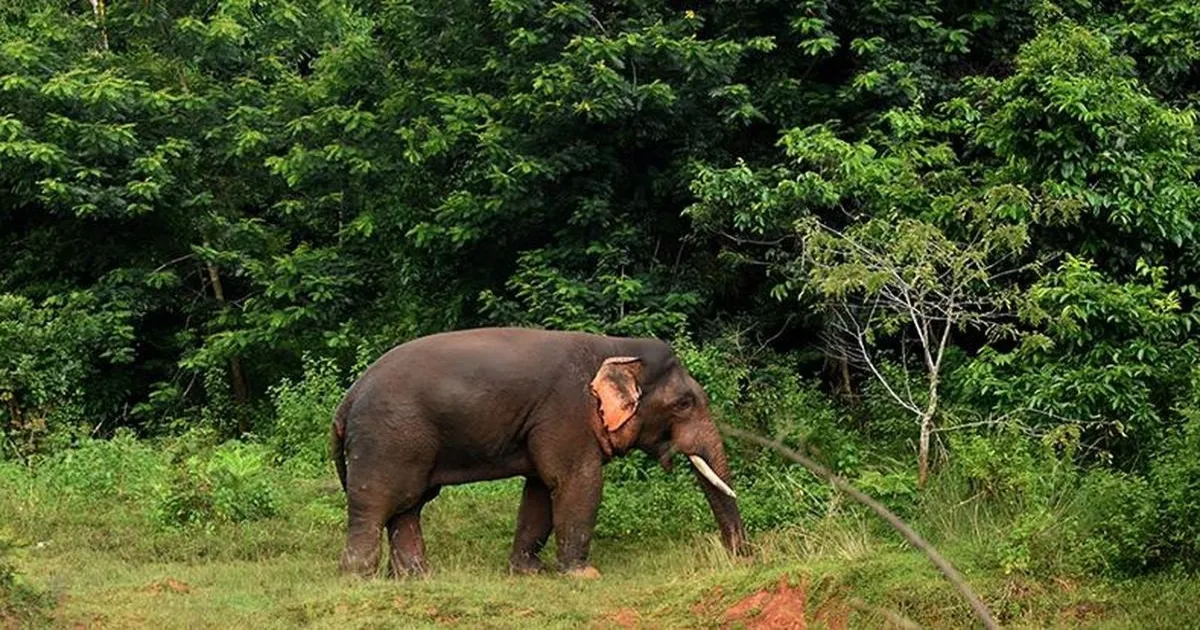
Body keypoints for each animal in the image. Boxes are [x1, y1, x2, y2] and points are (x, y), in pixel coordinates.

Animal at [330, 326, 749, 578]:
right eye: (683, 404)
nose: (743, 558)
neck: (615, 347)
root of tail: (347, 398)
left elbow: (540, 490)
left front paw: (528, 572)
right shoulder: (566, 413)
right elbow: (577, 481)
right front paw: (584, 575)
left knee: (408, 507)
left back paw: (417, 578)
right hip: (388, 439)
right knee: (378, 503)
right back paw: (360, 577)